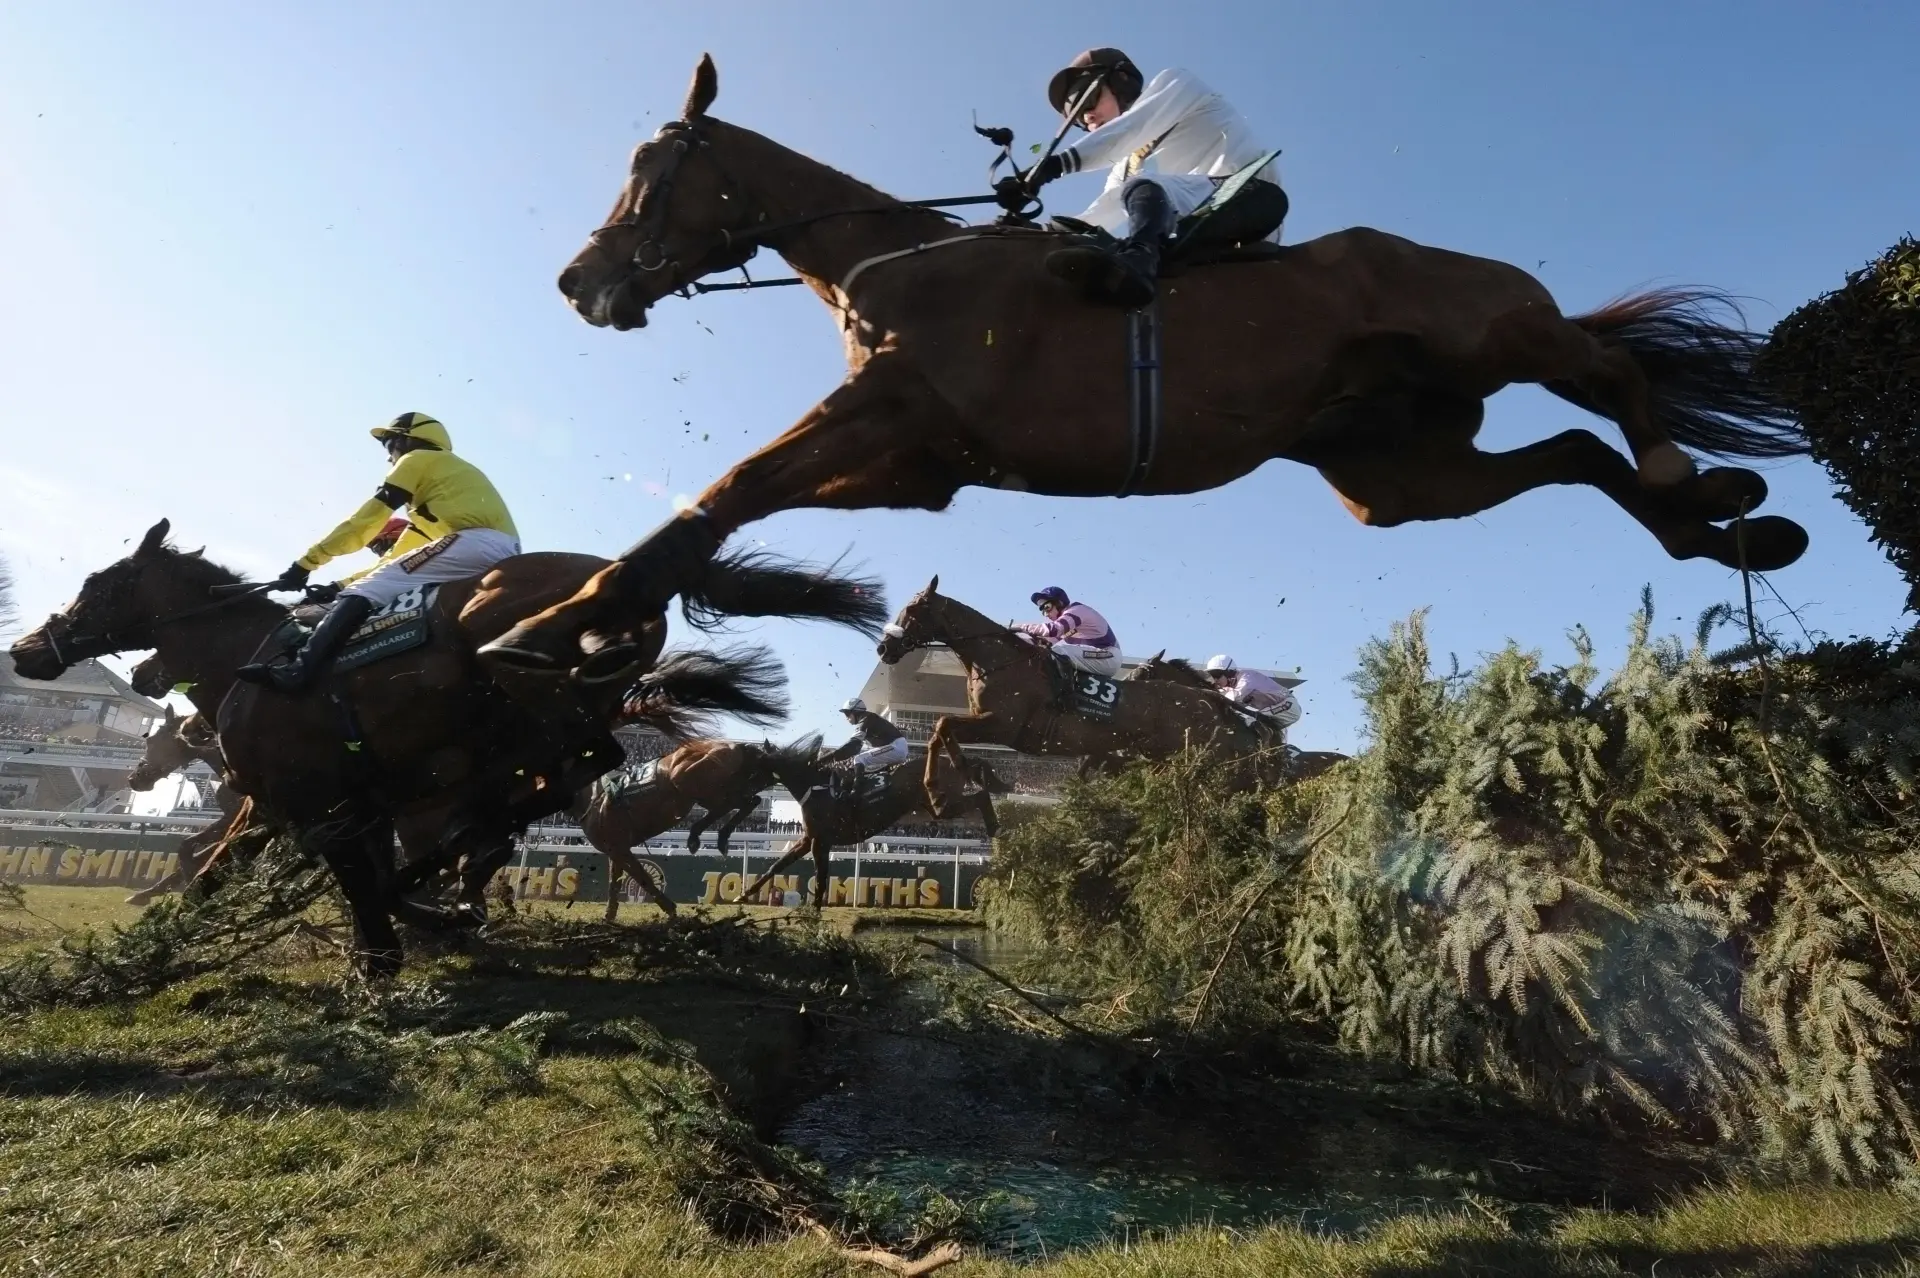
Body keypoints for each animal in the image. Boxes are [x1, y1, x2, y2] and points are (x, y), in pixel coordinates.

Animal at [487, 49, 1804, 667]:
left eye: (652, 170)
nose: (577, 283)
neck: (901, 263)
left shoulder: (890, 412)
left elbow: (725, 490)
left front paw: (551, 621)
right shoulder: (917, 463)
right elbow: (725, 510)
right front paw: (585, 620)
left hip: (1486, 328)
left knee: (1608, 379)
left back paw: (1697, 484)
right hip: (1393, 474)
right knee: (1575, 448)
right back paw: (1729, 529)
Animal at [568, 736, 779, 917]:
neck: (591, 797)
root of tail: (738, 746)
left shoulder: (618, 848)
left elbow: (643, 877)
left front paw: (670, 908)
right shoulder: (615, 849)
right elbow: (615, 883)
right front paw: (609, 918)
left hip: (695, 785)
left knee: (736, 803)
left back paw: (703, 837)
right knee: (750, 800)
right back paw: (713, 838)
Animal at [733, 733, 1006, 901]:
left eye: (753, 766)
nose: (741, 790)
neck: (816, 787)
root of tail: (952, 760)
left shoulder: (821, 842)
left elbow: (821, 880)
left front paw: (814, 917)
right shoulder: (808, 839)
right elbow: (775, 866)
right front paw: (743, 895)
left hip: (943, 802)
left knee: (981, 796)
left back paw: (996, 830)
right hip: (935, 807)